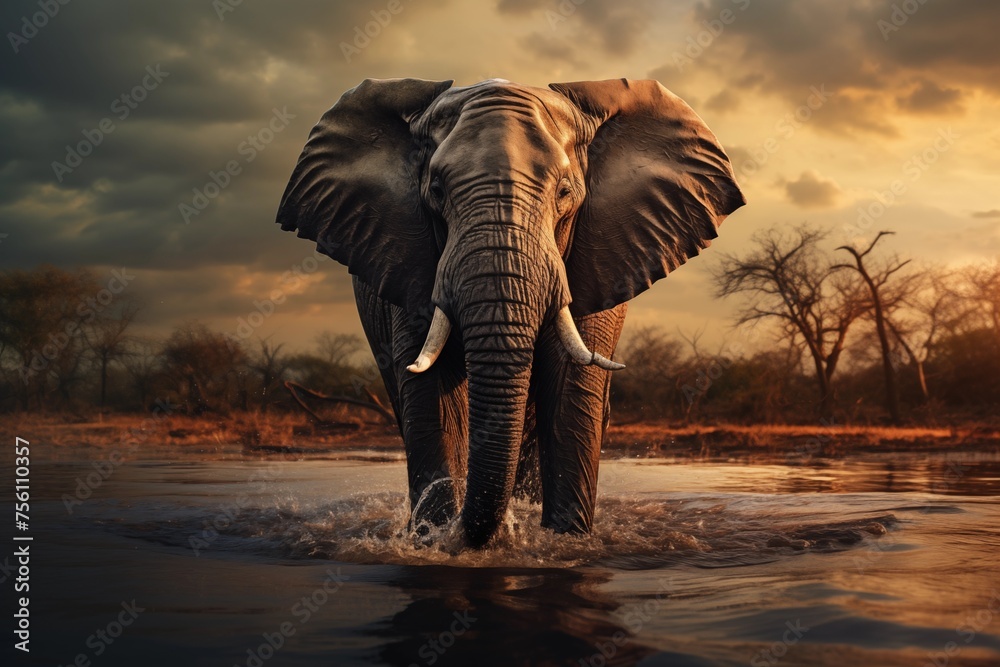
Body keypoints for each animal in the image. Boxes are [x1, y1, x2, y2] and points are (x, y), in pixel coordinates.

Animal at [276, 77, 744, 548]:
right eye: (436, 191)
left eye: (564, 193)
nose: (471, 531)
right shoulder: (409, 262)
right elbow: (431, 396)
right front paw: (432, 540)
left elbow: (571, 390)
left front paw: (565, 543)